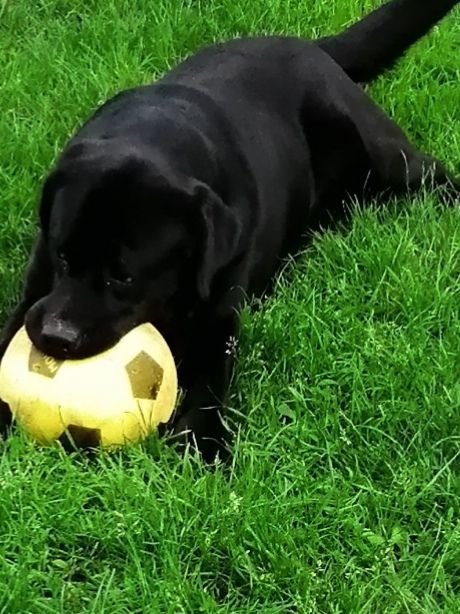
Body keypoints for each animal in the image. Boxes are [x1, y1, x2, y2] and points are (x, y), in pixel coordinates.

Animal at [0, 1, 460, 462]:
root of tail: (315, 47)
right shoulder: (32, 298)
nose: (55, 336)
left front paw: (204, 444)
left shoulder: (218, 319)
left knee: (428, 173)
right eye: (62, 255)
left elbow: (209, 386)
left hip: (372, 142)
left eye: (123, 276)